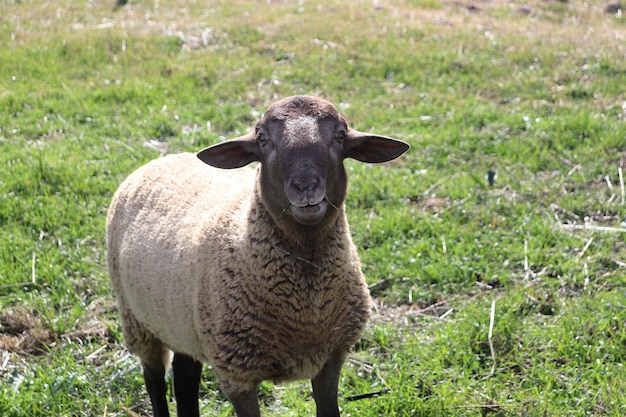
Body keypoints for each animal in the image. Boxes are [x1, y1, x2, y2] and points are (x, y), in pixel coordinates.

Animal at [107, 95, 410, 416]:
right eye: (263, 139)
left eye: (340, 136)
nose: (305, 187)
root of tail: (166, 157)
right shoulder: (236, 374)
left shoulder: (331, 358)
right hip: (138, 322)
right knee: (154, 379)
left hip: (181, 323)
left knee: (185, 375)